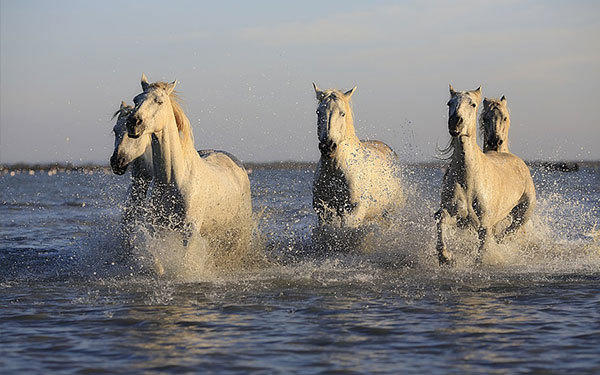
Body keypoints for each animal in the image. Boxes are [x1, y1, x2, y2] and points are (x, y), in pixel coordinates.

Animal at [310, 83, 404, 231]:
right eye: (318, 112)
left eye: (342, 113)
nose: (327, 146)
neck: (335, 169)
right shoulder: (324, 213)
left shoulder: (352, 213)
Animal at [436, 86, 536, 266]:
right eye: (449, 103)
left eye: (473, 104)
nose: (455, 122)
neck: (468, 179)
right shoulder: (455, 215)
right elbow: (441, 221)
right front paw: (446, 257)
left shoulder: (484, 224)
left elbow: (484, 248)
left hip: (523, 213)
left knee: (510, 231)